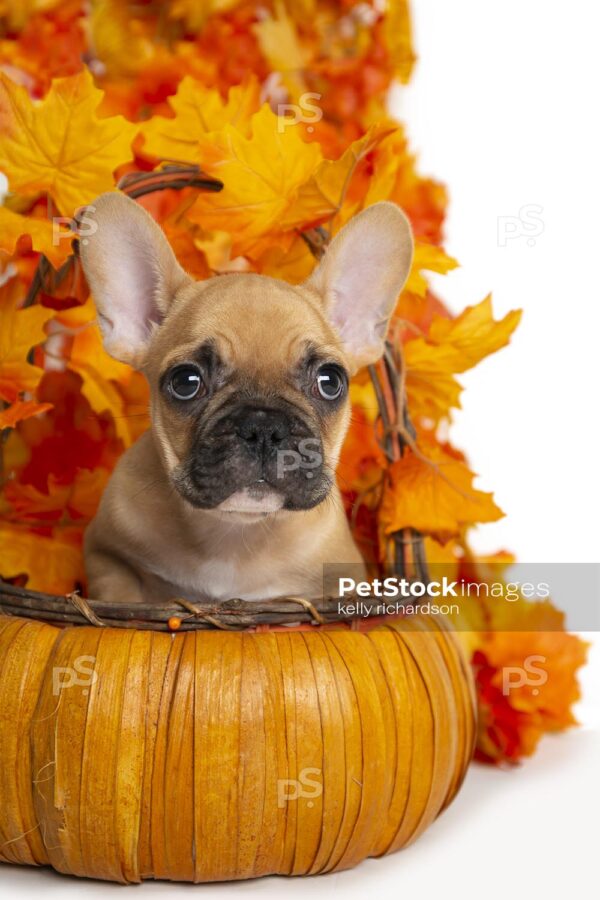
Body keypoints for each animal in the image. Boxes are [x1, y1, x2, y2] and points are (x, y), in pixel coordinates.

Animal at [78, 197, 412, 604]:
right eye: (185, 381)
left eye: (330, 381)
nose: (263, 427)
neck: (235, 534)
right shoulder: (107, 554)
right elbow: (121, 593)